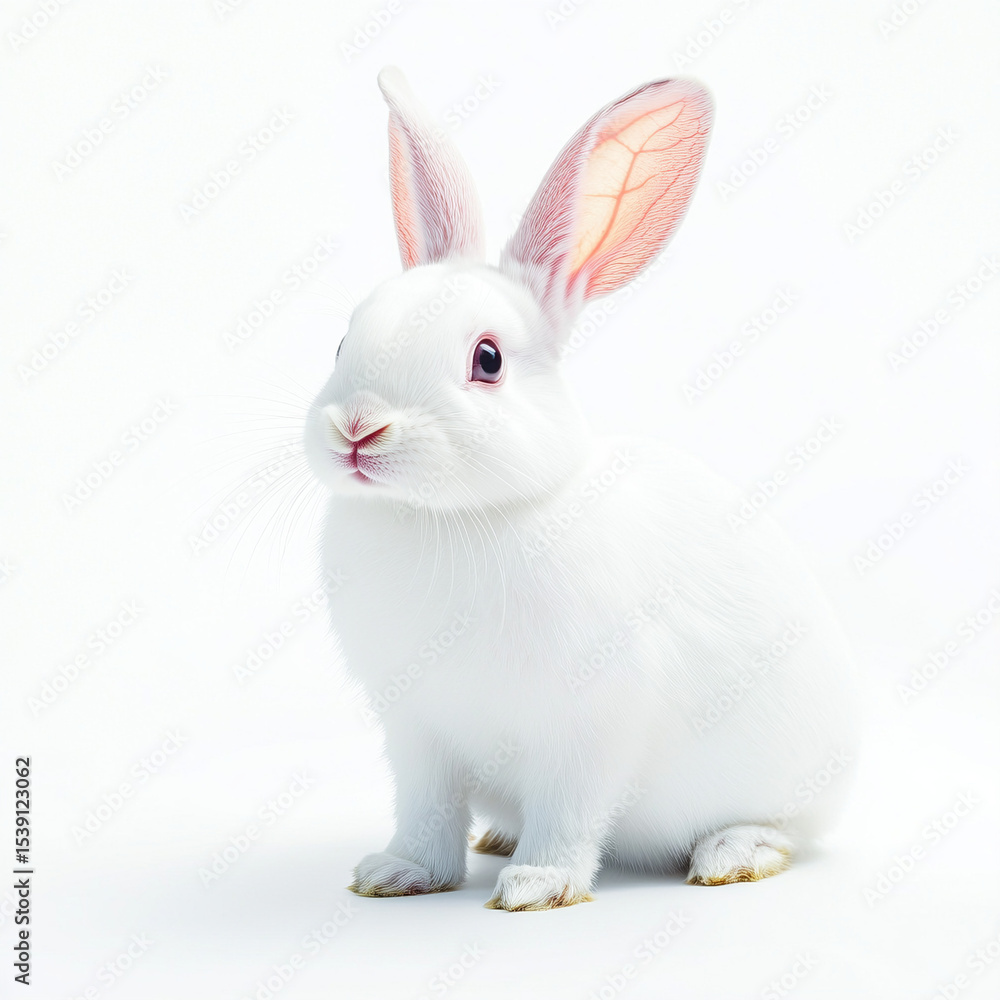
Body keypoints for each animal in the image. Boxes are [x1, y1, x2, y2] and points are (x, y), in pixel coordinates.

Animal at [303, 66, 858, 911]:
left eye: (489, 359)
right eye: (342, 341)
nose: (358, 429)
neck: (447, 517)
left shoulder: (592, 725)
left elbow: (570, 812)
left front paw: (539, 886)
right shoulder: (418, 732)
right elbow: (428, 815)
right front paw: (397, 874)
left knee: (781, 826)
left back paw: (731, 855)